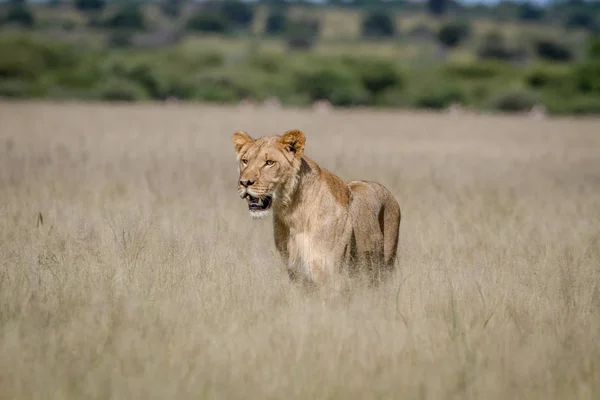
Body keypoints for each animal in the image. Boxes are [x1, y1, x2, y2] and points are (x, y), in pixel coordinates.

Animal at [232, 130, 400, 286]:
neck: (293, 214)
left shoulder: (331, 275)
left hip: (384, 267)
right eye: (245, 161)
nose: (244, 183)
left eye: (269, 162)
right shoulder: (297, 274)